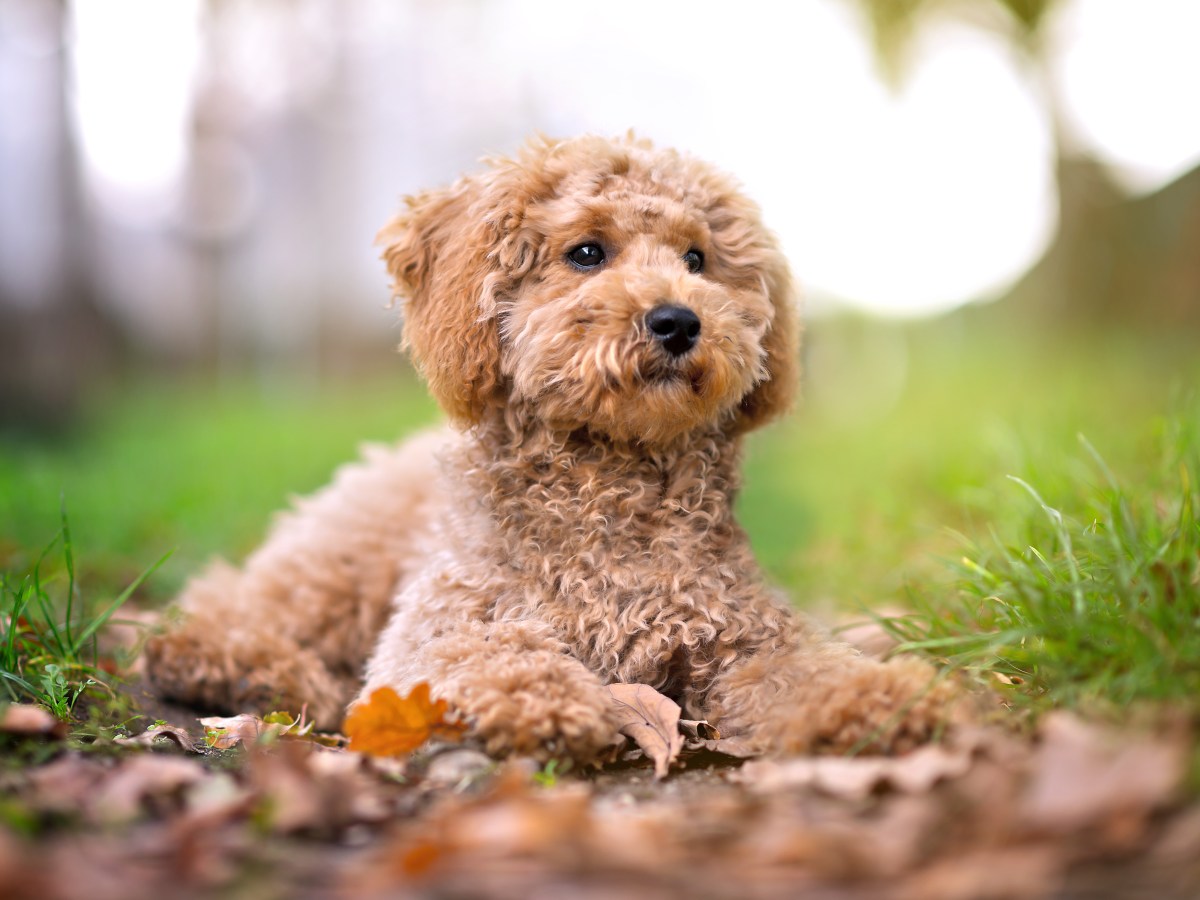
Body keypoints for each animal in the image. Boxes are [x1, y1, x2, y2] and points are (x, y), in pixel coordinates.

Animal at [147, 133, 955, 763]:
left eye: (697, 259)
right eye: (586, 252)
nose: (678, 320)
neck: (614, 479)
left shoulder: (744, 633)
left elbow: (808, 670)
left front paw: (882, 697)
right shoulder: (444, 623)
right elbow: (484, 653)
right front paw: (539, 700)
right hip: (338, 566)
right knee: (219, 605)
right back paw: (250, 667)